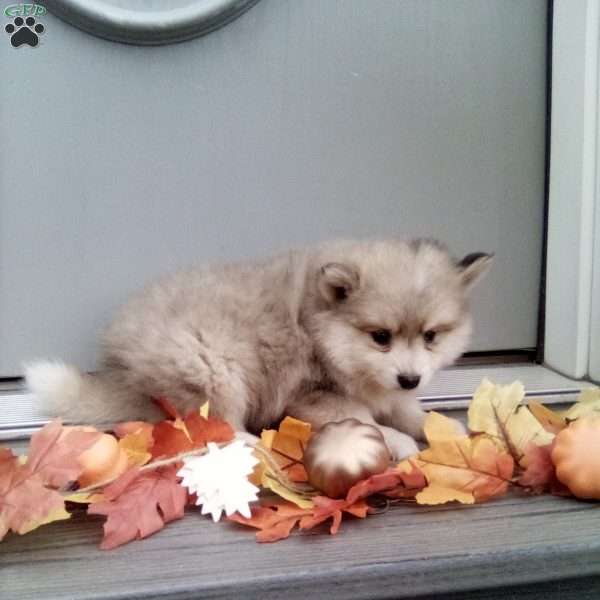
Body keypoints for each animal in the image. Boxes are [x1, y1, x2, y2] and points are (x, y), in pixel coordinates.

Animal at [24, 239, 492, 460]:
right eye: (380, 336)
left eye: (431, 336)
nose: (410, 378)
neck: (321, 328)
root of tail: (125, 373)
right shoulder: (316, 399)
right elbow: (367, 422)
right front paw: (398, 442)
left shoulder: (387, 391)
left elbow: (410, 412)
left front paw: (443, 428)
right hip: (218, 366)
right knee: (215, 428)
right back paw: (255, 443)